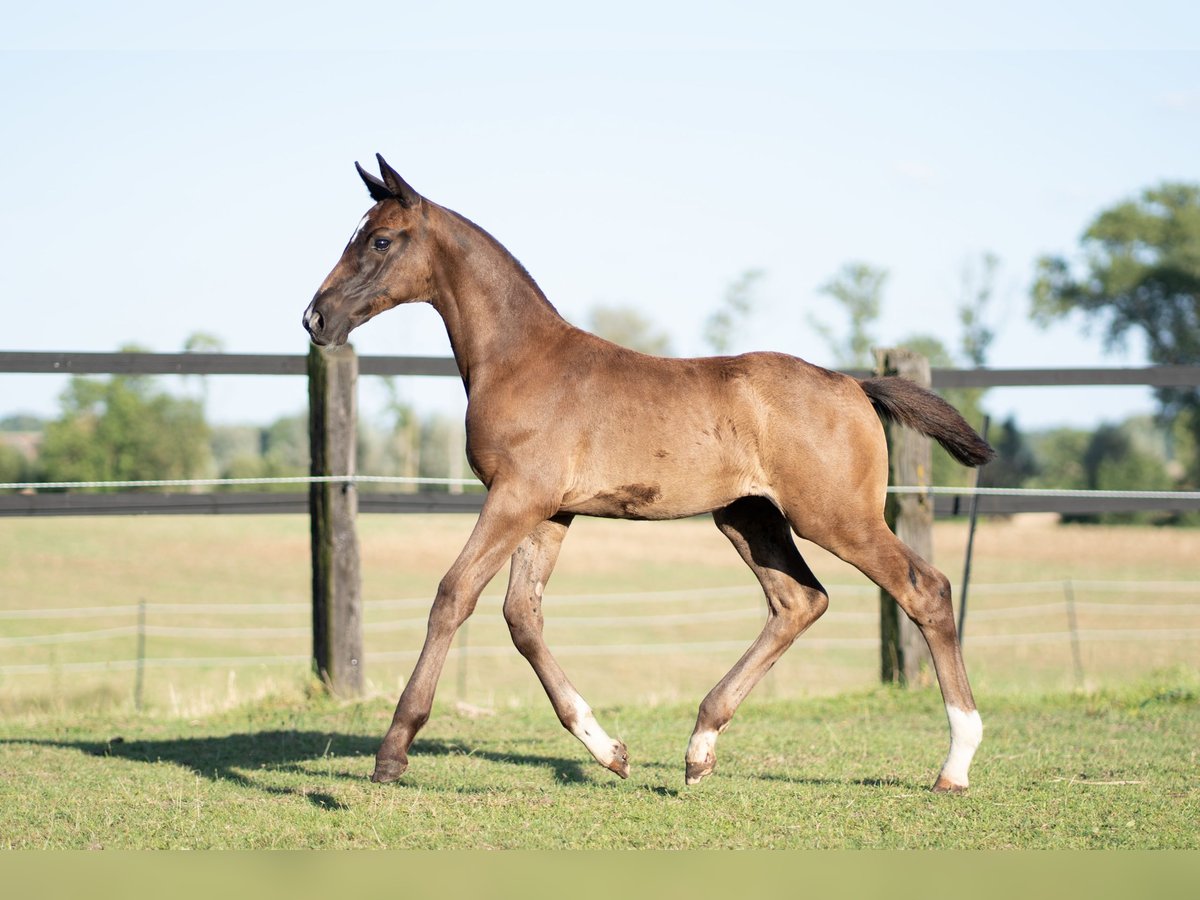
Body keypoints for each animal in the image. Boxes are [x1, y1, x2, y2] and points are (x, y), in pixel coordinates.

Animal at [302, 158, 993, 792]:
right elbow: (523, 616)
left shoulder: (517, 496)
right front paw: (609, 750)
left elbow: (454, 594)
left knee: (925, 590)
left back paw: (955, 764)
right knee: (799, 600)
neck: (521, 359)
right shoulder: (549, 510)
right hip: (748, 517)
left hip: (835, 516)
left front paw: (393, 752)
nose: (315, 319)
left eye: (380, 240)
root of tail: (854, 383)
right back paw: (700, 746)